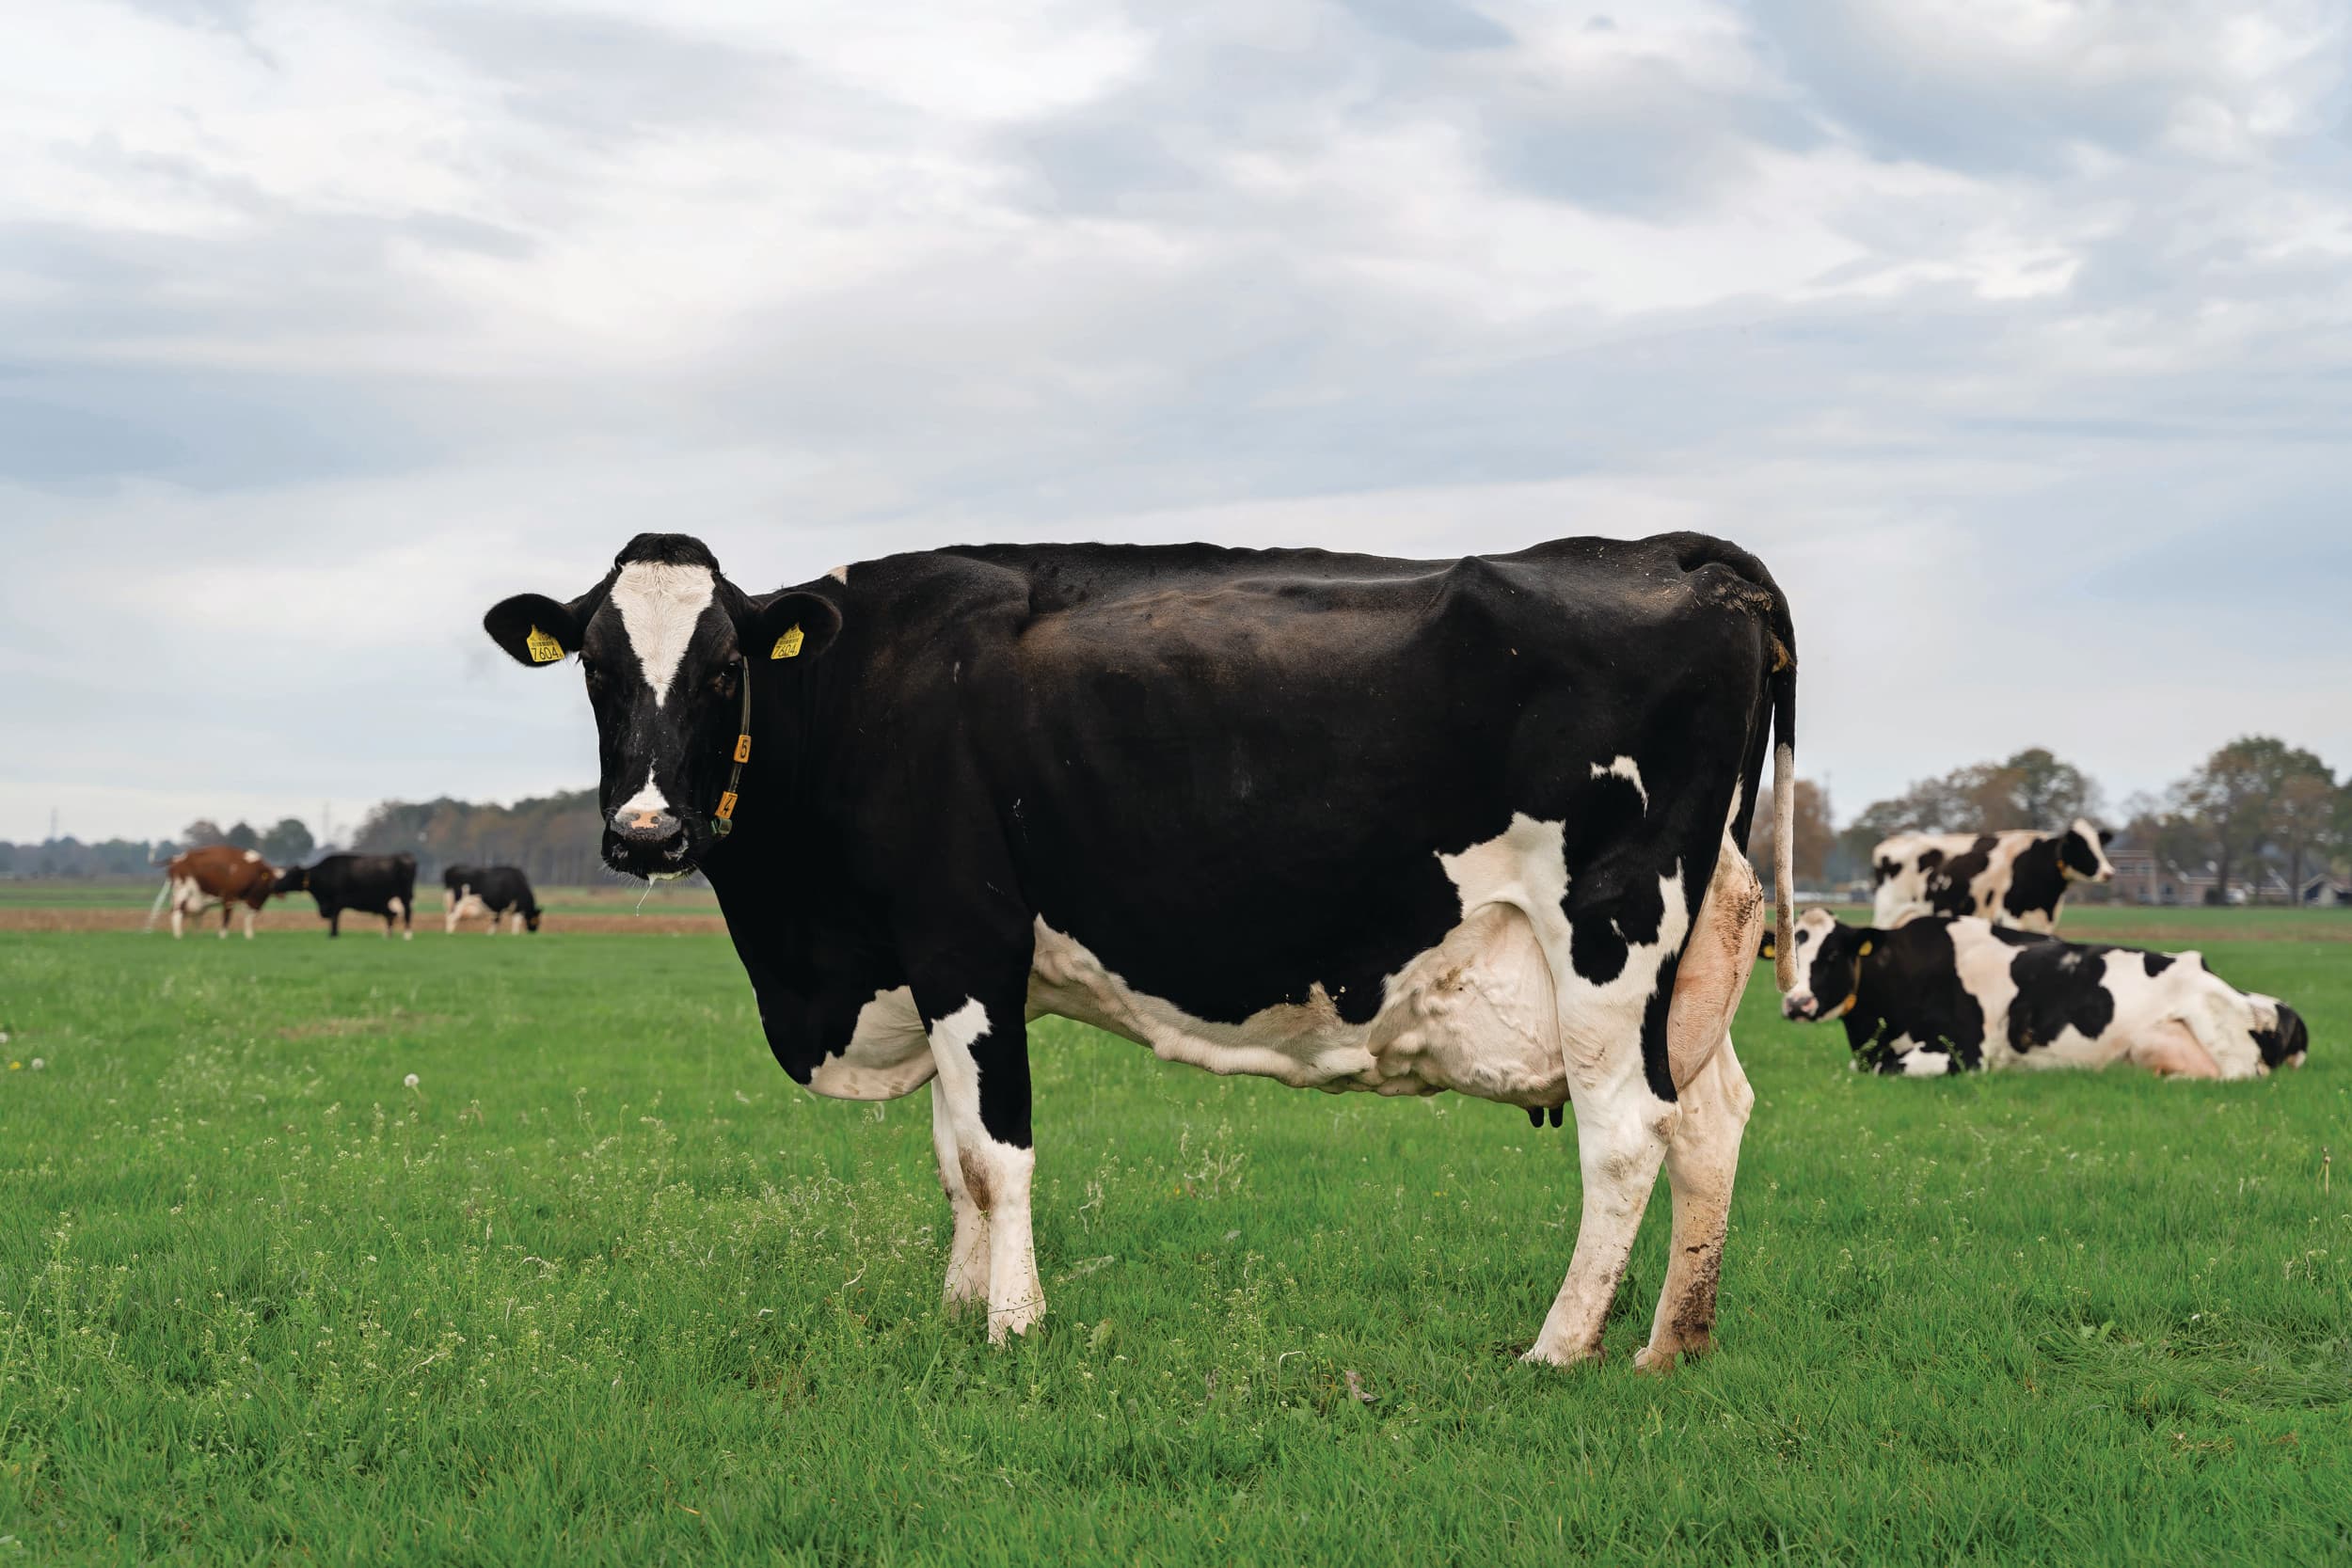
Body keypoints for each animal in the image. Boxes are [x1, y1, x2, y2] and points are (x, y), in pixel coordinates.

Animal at [145, 844, 278, 939]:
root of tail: (178, 858)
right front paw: (223, 936)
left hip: (188, 896)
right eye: (270, 881)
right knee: (177, 913)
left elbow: (248, 917)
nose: (278, 893)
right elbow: (227, 917)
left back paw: (196, 936)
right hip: (182, 892)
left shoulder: (247, 901)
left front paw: (249, 936)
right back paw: (179, 936)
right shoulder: (229, 897)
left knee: (193, 916)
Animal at [276, 853, 417, 938]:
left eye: (291, 875)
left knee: (406, 913)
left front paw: (333, 935)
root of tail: (406, 856)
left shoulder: (336, 902)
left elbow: (334, 919)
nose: (276, 884)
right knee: (392, 915)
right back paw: (390, 935)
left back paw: (407, 935)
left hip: (405, 896)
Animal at [483, 530, 1800, 1369]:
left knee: (1625, 1134)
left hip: (1609, 931)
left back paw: (1559, 1347)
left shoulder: (964, 938)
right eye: (596, 667)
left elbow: (996, 1151)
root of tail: (1668, 549)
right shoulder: (936, 962)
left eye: (723, 667)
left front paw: (1013, 1324)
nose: (644, 830)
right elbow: (953, 1155)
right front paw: (959, 1308)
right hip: (1695, 952)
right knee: (1710, 1119)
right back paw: (1671, 1344)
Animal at [1765, 908, 2308, 1080]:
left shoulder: (1966, 1052)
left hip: (2220, 1033)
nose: (1796, 1004)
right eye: (1788, 955)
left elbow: (1886, 1068)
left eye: (1832, 956)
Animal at [1870, 818, 2114, 933]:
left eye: (2098, 844)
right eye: (2082, 846)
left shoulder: (2042, 924)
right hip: (1887, 916)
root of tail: (1889, 842)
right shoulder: (2009, 918)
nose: (2108, 872)